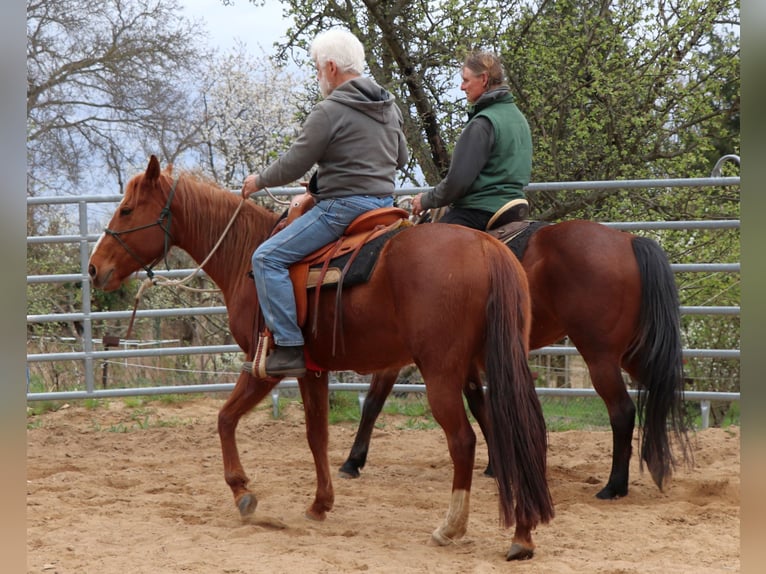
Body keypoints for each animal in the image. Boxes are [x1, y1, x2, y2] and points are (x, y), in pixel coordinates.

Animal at [87, 156, 554, 561]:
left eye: (126, 209)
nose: (93, 269)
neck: (246, 256)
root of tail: (488, 248)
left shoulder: (266, 366)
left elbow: (226, 419)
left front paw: (243, 492)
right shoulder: (313, 370)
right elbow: (317, 434)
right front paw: (320, 504)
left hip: (441, 373)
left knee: (464, 440)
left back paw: (451, 526)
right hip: (491, 365)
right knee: (516, 431)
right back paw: (522, 535)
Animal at [339, 219, 692, 500]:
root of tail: (629, 241)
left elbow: (374, 402)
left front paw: (352, 461)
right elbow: (480, 406)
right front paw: (496, 464)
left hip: (600, 356)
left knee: (622, 410)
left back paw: (615, 485)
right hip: (632, 351)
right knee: (661, 391)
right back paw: (659, 466)